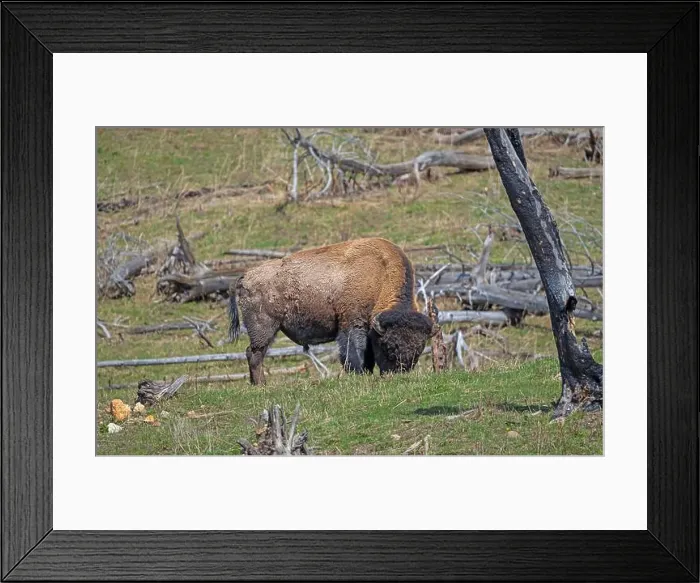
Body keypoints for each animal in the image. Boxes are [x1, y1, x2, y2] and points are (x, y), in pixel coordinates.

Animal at [228, 237, 436, 385]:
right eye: (388, 347)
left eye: (419, 350)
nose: (398, 375)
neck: (379, 276)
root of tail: (245, 276)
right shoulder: (352, 323)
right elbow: (355, 352)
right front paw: (357, 374)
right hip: (264, 328)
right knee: (254, 354)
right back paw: (261, 385)